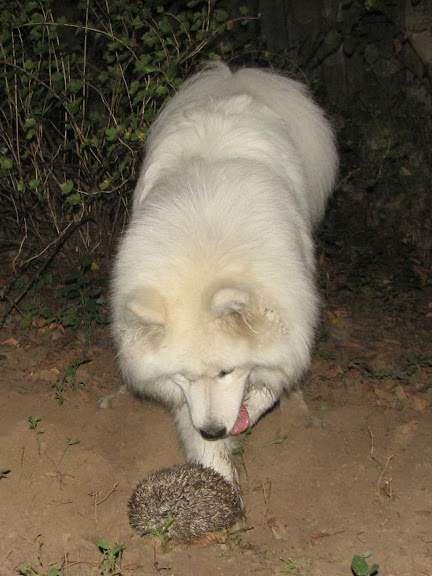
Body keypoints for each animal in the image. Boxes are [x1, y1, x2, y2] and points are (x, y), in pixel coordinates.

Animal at [111, 62, 338, 484]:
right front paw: (218, 475)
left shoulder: (290, 312)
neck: (205, 250)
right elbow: (202, 442)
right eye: (185, 376)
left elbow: (272, 377)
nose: (213, 429)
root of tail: (233, 79)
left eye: (226, 371)